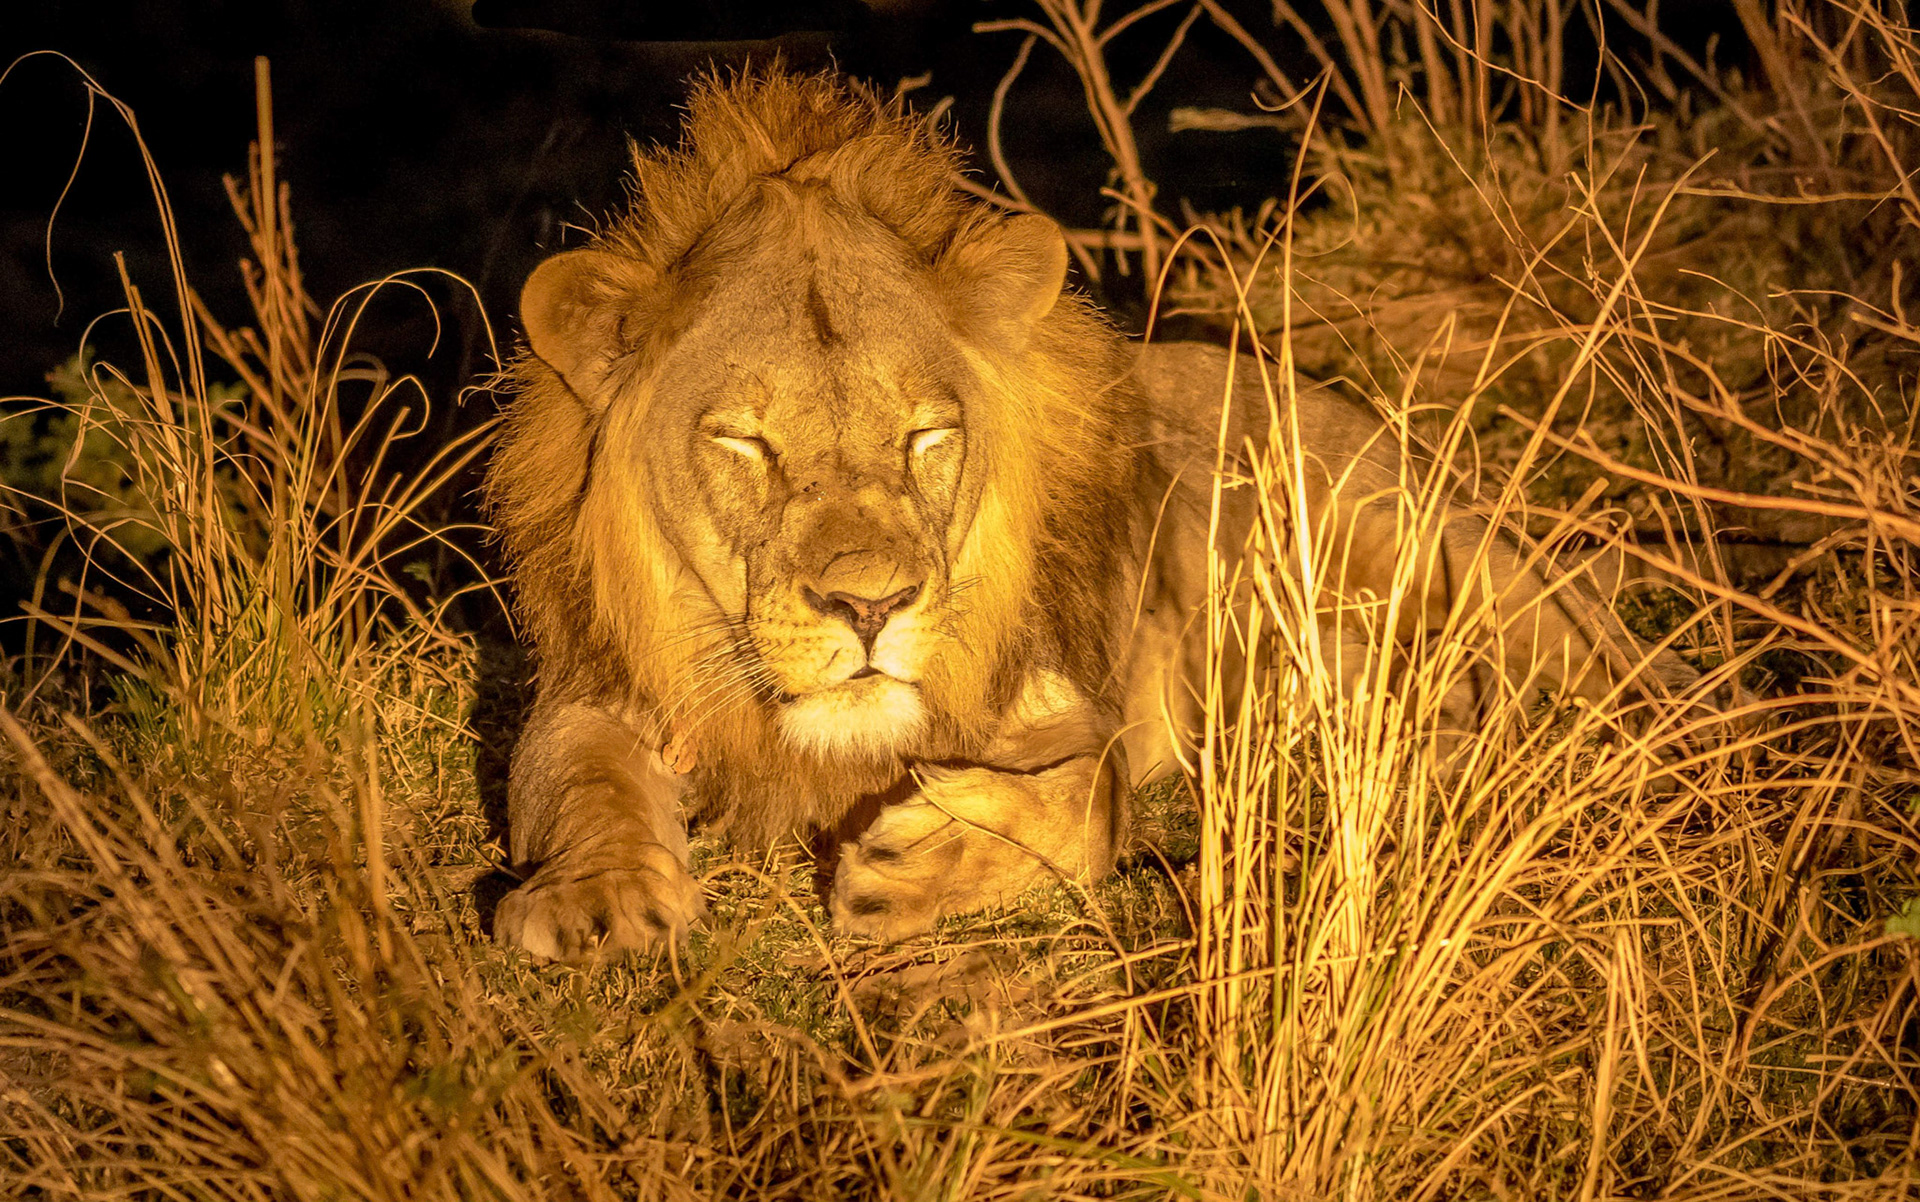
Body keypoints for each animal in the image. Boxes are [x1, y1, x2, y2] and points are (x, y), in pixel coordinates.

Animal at [485, 70, 1713, 959]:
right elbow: (578, 782)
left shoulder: (1066, 699)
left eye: (926, 436)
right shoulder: (592, 683)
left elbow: (1087, 795)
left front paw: (914, 865)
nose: (870, 606)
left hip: (1433, 547)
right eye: (744, 442)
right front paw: (594, 901)